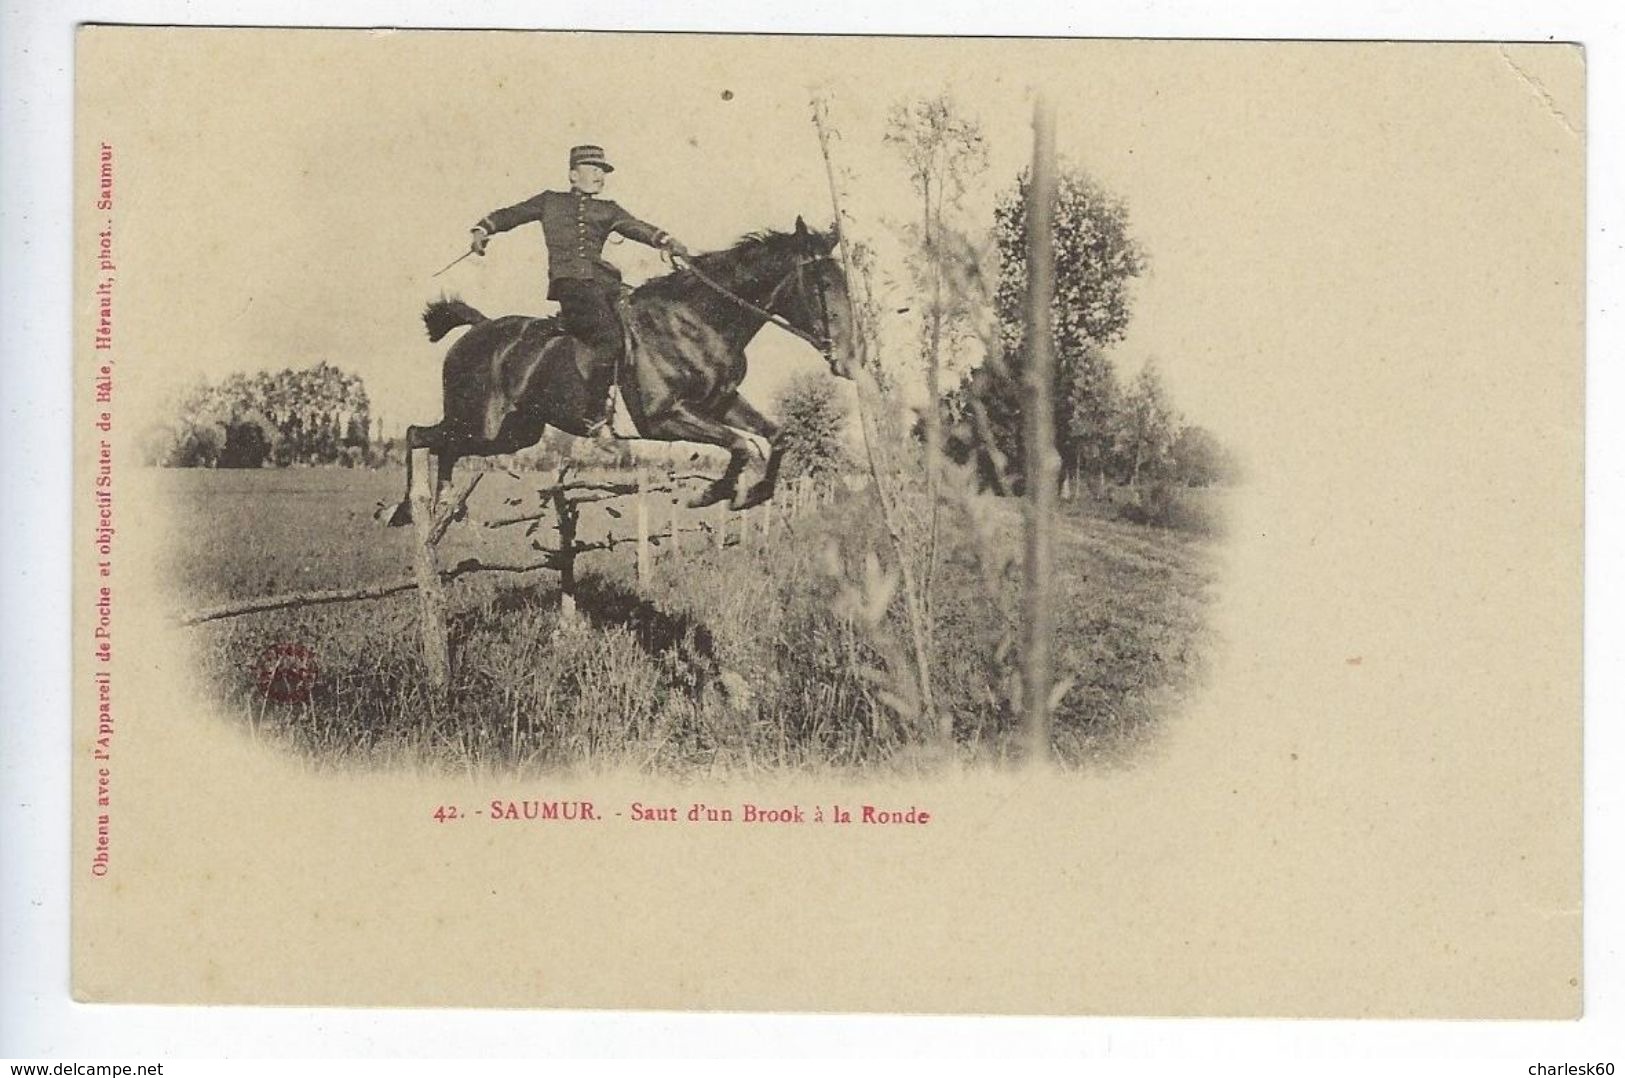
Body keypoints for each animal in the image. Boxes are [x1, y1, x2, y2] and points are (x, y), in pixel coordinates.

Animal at [385, 216, 858, 526]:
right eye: (822, 284)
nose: (850, 360)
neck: (697, 321)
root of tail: (478, 327)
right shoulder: (663, 418)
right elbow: (741, 445)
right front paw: (713, 493)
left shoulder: (720, 402)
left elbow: (776, 436)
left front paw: (753, 495)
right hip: (481, 424)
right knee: (419, 435)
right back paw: (409, 507)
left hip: (513, 434)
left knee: (443, 446)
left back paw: (446, 505)